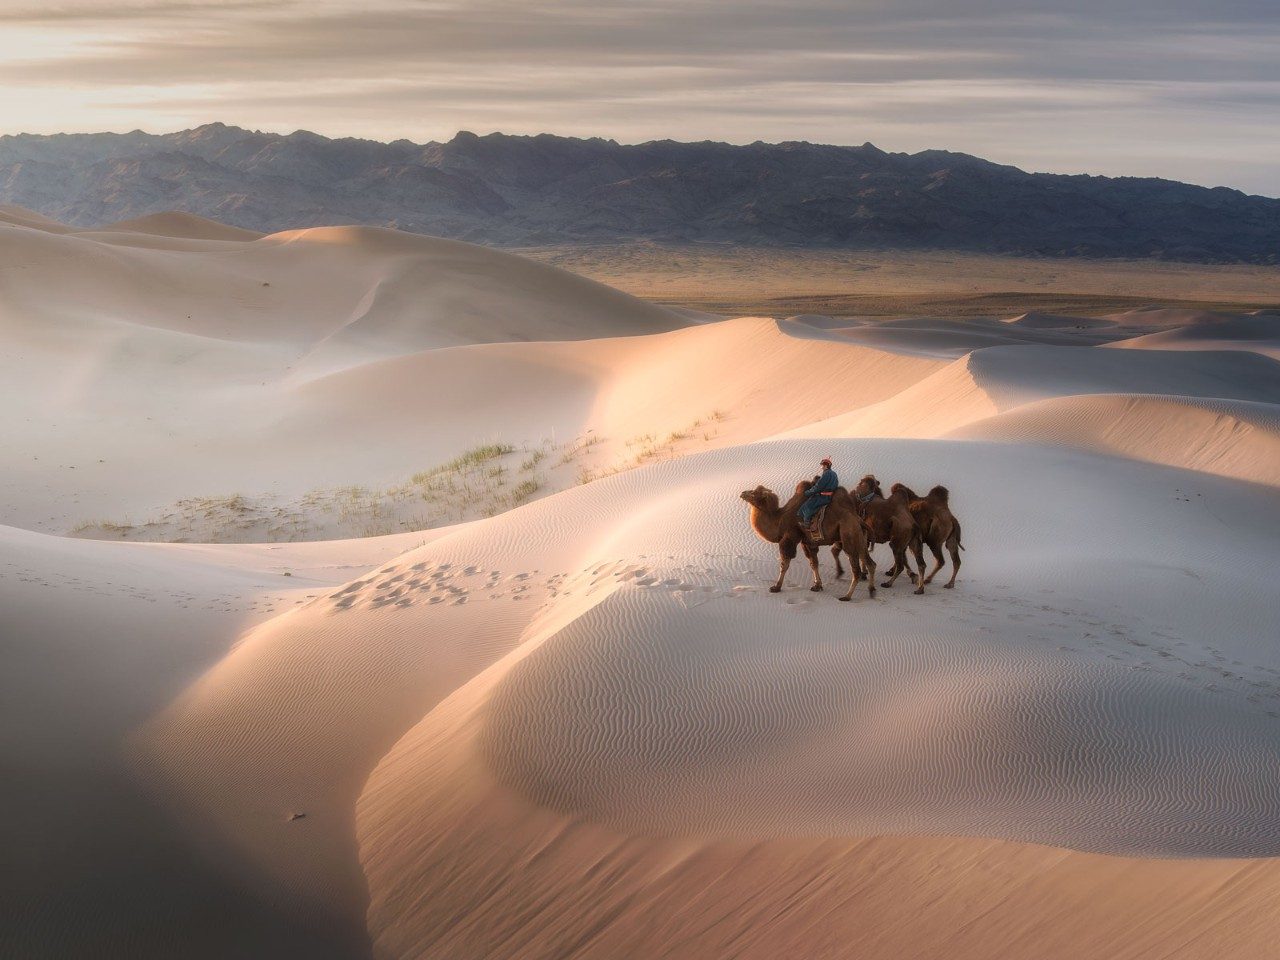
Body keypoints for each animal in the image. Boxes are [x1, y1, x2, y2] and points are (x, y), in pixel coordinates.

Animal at [742, 483, 880, 604]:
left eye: (754, 493)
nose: (743, 493)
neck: (779, 520)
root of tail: (858, 519)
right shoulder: (807, 542)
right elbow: (814, 563)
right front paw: (817, 586)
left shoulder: (790, 537)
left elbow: (784, 564)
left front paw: (776, 587)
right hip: (860, 539)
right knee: (870, 563)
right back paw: (872, 591)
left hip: (848, 535)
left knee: (856, 569)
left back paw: (847, 596)